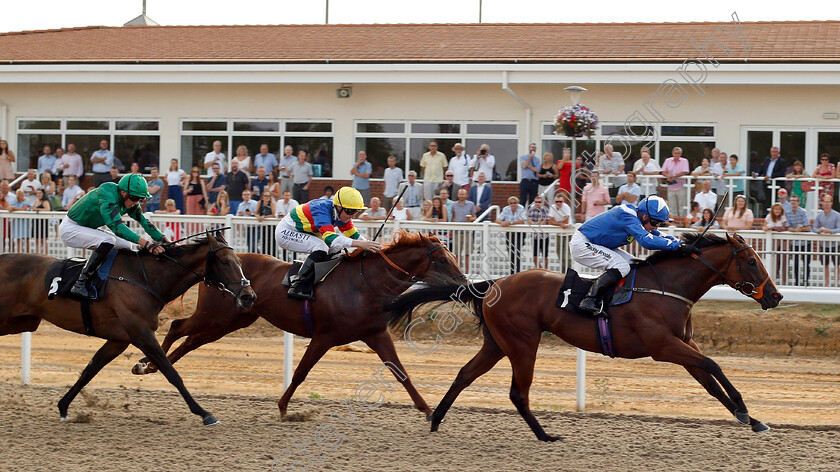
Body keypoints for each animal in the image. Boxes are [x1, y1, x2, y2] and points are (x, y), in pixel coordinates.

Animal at [0, 234, 256, 426]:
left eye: (240, 261)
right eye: (225, 262)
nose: (248, 296)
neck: (144, 279)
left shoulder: (119, 340)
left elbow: (90, 370)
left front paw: (63, 407)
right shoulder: (141, 333)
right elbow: (171, 372)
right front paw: (204, 413)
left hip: (21, 321)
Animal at [130, 230, 466, 418]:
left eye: (452, 255)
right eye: (443, 260)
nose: (464, 284)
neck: (364, 283)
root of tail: (212, 268)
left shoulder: (375, 334)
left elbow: (401, 373)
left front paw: (428, 411)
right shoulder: (325, 336)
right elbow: (302, 372)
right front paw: (282, 407)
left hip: (231, 320)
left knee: (189, 340)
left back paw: (152, 366)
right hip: (214, 315)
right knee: (177, 327)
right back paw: (146, 364)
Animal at [384, 234, 784, 440]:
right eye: (751, 261)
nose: (776, 296)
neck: (668, 287)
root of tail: (493, 284)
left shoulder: (684, 345)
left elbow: (710, 381)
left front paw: (750, 418)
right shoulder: (664, 347)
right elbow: (714, 365)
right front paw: (745, 411)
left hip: (497, 343)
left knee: (465, 375)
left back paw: (436, 420)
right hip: (522, 343)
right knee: (517, 393)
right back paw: (545, 435)